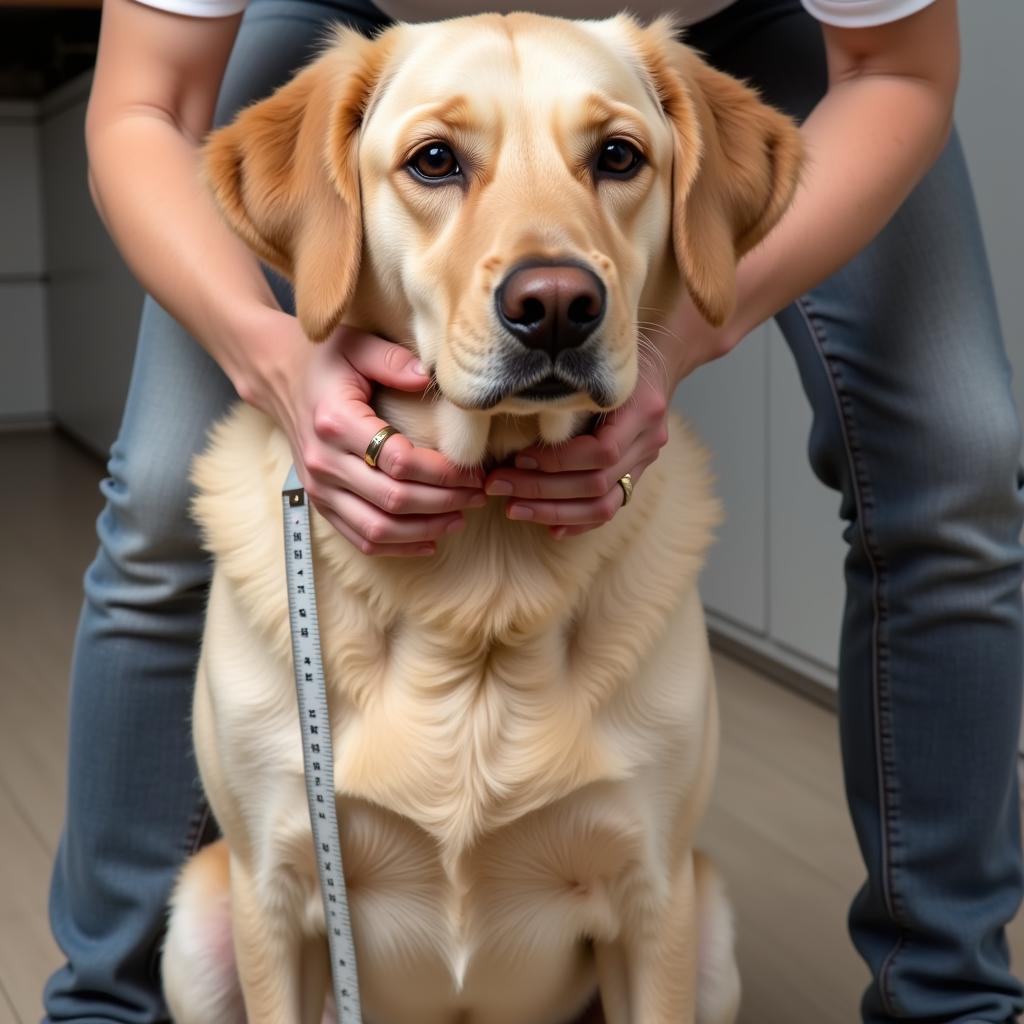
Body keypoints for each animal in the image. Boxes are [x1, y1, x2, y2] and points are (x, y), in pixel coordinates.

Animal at [161, 9, 798, 1024]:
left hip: (712, 933)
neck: (486, 567)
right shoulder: (274, 893)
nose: (557, 306)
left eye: (618, 155)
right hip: (199, 924)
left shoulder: (654, 901)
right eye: (434, 160)